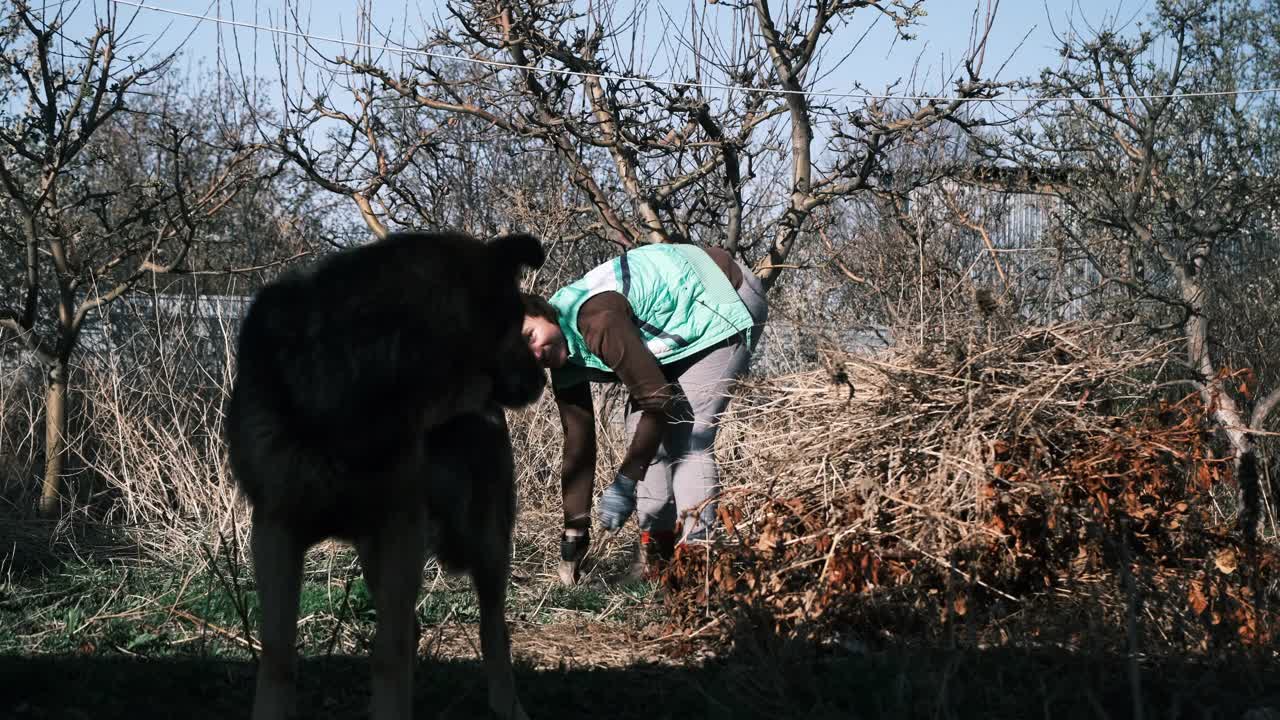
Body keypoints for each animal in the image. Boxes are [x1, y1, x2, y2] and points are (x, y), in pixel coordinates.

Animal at [225, 229, 545, 717]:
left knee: (492, 627)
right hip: (376, 551)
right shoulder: (276, 530)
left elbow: (389, 652)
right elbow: (278, 654)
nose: (544, 377)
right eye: (519, 331)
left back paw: (507, 705)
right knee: (413, 628)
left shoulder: (399, 530)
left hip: (482, 540)